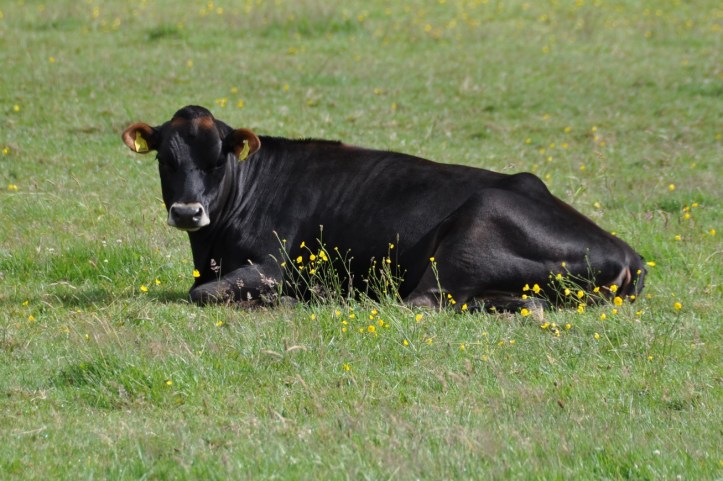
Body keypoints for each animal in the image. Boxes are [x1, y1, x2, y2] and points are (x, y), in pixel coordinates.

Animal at [121, 105, 645, 311]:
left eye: (217, 160)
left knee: (422, 300)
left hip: (472, 229)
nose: (187, 212)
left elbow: (204, 293)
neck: (210, 249)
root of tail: (628, 252)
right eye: (166, 160)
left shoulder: (271, 266)